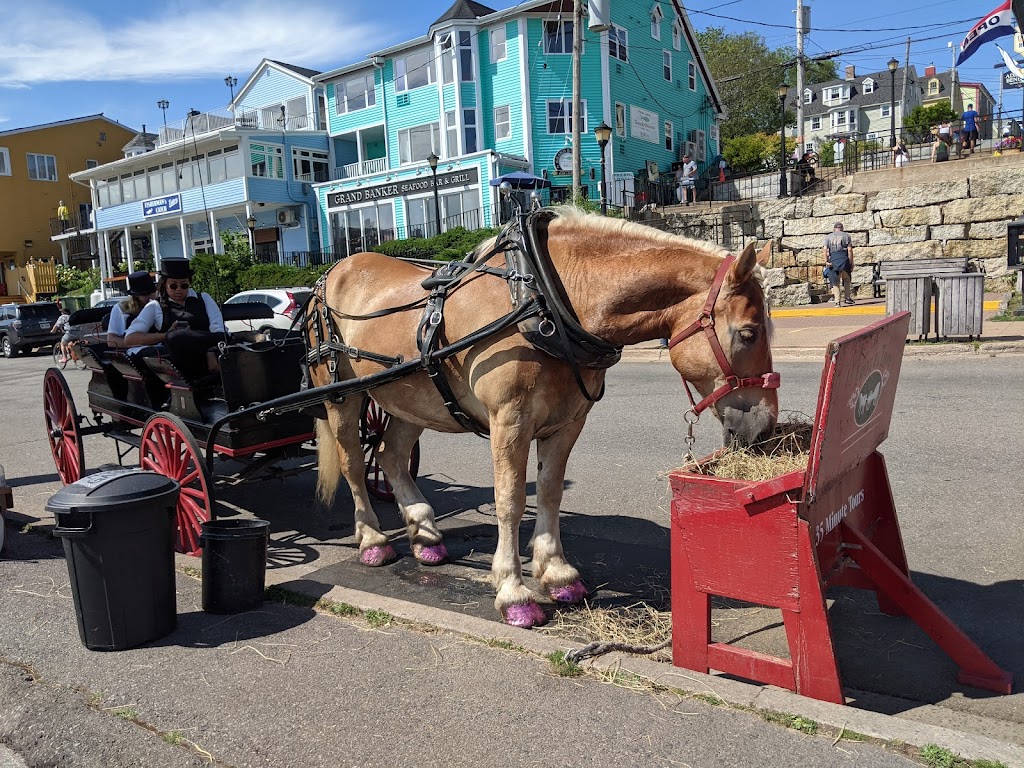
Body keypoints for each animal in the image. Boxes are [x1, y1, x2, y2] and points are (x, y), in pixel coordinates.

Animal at [305, 207, 774, 626]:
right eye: (749, 333)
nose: (764, 426)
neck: (546, 301)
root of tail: (331, 274)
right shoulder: (509, 421)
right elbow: (510, 500)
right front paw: (513, 591)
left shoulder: (567, 422)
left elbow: (549, 491)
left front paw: (556, 573)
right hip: (341, 398)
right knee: (353, 463)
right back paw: (372, 540)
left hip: (411, 397)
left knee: (390, 456)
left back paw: (424, 534)